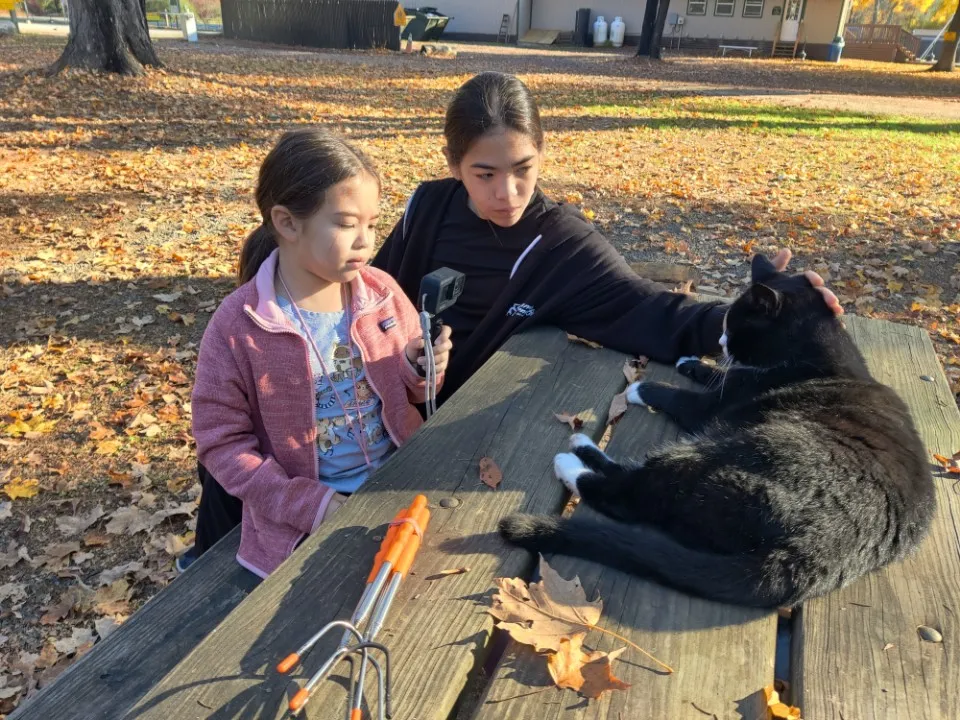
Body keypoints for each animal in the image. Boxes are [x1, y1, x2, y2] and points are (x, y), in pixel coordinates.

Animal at [498, 253, 932, 608]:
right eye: (723, 324)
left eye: (735, 326)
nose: (721, 340)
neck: (816, 355)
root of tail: (812, 554)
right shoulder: (732, 380)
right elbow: (715, 374)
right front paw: (692, 361)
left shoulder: (718, 405)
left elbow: (683, 397)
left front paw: (642, 388)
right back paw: (582, 444)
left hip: (723, 449)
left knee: (632, 496)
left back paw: (571, 460)